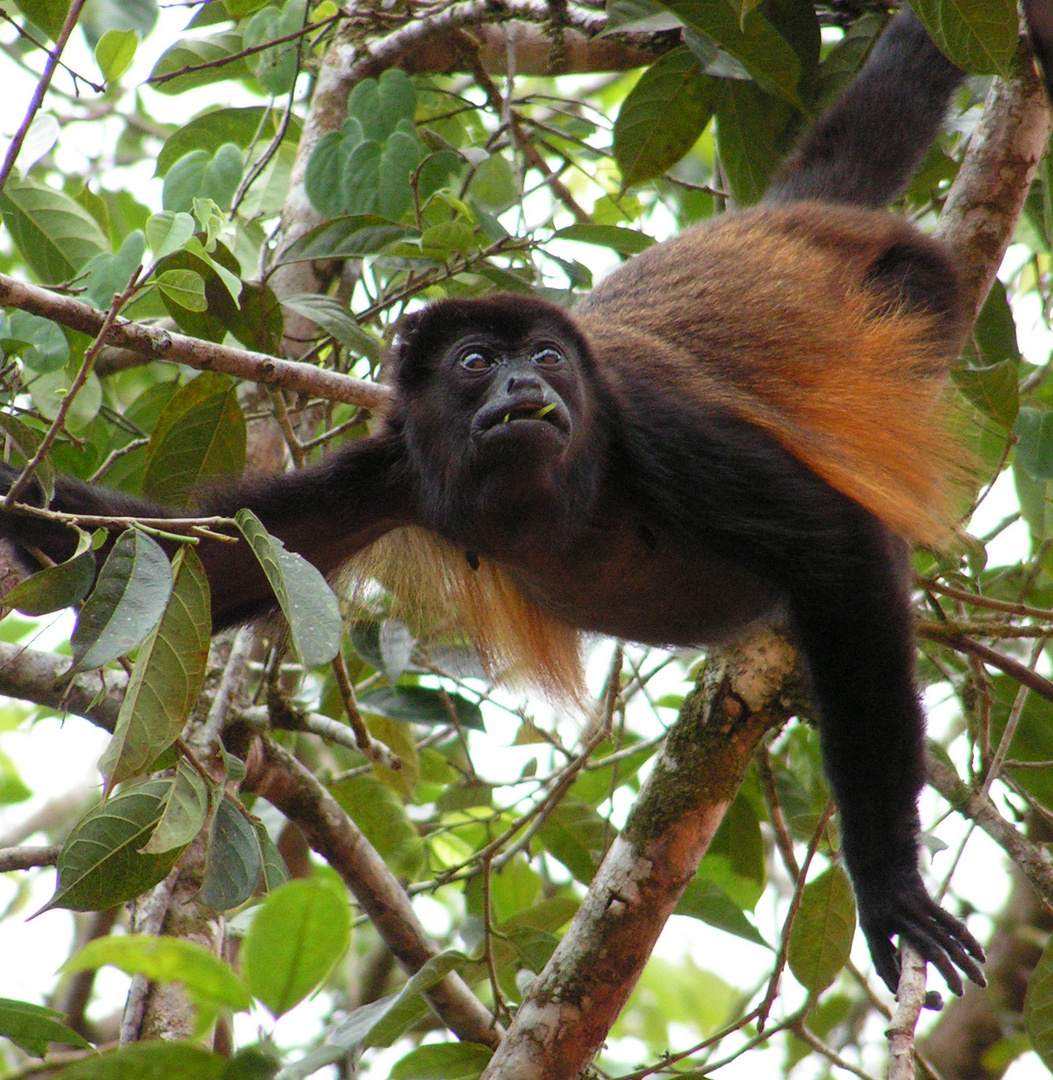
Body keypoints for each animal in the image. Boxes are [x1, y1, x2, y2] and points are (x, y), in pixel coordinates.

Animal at [0, 4, 1041, 993]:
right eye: (474, 363)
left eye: (543, 355)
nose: (524, 386)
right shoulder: (395, 471)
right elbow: (208, 562)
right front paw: (24, 501)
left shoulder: (651, 422)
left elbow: (834, 546)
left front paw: (889, 883)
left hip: (913, 287)